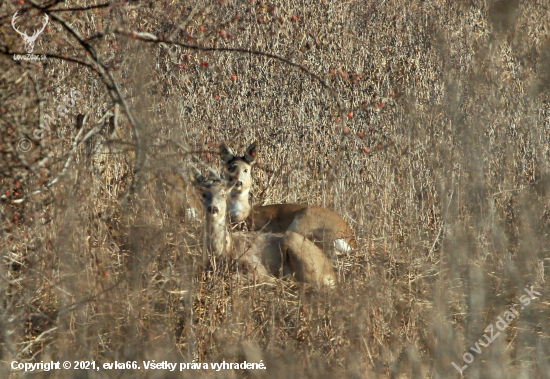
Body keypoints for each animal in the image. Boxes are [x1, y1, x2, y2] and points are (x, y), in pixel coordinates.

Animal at [196, 172, 338, 288]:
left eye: (223, 194)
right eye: (203, 194)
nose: (213, 208)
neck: (224, 250)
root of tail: (331, 272)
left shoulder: (255, 265)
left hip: (299, 248)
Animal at [220, 142, 358, 258]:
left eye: (246, 169)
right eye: (230, 168)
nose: (238, 182)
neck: (244, 213)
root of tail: (350, 241)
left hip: (303, 223)